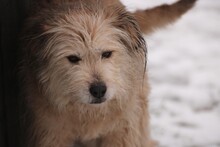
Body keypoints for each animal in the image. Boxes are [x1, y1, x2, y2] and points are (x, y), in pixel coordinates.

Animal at [20, 0, 196, 146]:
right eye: (73, 58)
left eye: (107, 54)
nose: (98, 90)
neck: (89, 113)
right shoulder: (51, 133)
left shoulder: (122, 131)